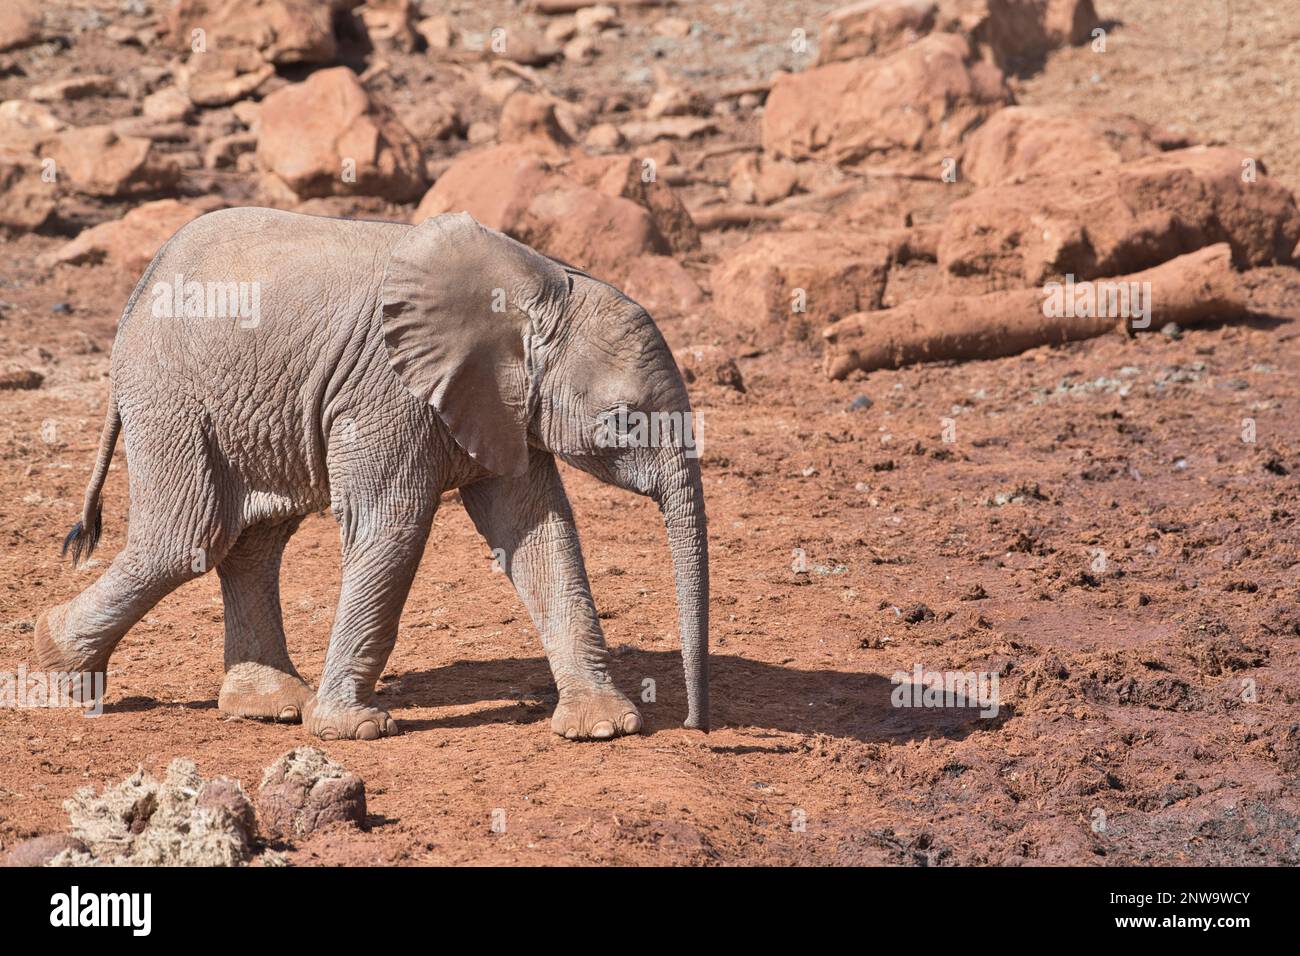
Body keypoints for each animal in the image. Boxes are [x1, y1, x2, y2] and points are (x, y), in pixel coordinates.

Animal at [38, 213, 712, 743]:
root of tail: (138, 291)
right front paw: (354, 730)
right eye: (623, 422)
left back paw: (270, 706)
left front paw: (604, 727)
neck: (541, 285)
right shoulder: (387, 392)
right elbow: (394, 527)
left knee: (252, 543)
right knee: (186, 540)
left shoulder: (502, 406)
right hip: (171, 396)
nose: (694, 727)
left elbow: (538, 535)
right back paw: (56, 665)